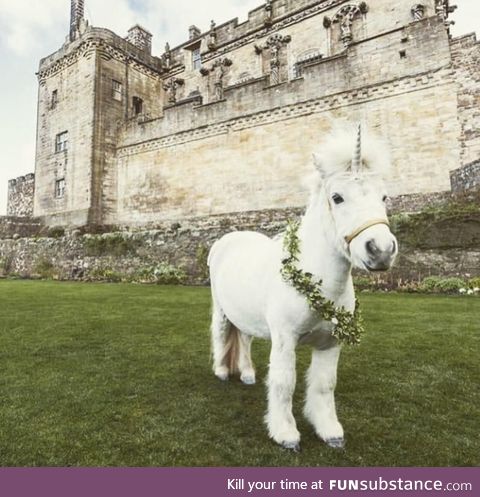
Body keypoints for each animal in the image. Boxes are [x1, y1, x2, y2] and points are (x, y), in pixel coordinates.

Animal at [206, 124, 398, 450]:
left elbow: (324, 384)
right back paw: (221, 371)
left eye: (384, 196)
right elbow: (284, 382)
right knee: (221, 335)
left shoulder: (331, 342)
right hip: (221, 310)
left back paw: (247, 374)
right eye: (337, 197)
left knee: (243, 338)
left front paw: (329, 430)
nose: (381, 250)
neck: (318, 286)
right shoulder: (285, 340)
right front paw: (285, 434)